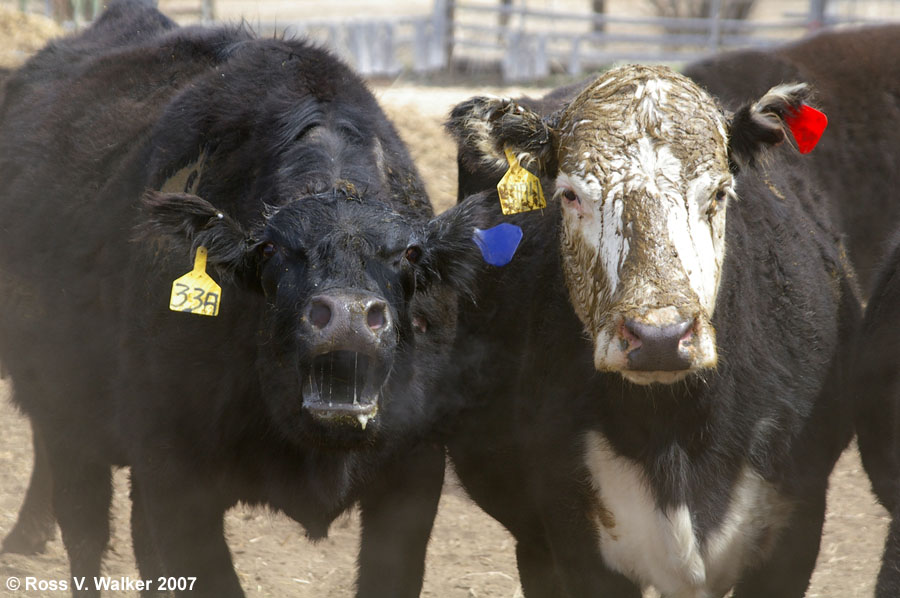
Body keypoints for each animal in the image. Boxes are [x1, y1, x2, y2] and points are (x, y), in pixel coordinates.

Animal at [0, 2, 486, 596]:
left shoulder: (414, 475)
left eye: (411, 253)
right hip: (63, 414)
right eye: (271, 248)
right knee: (84, 527)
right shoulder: (175, 477)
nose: (347, 315)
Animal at [446, 65, 860, 598]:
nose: (660, 338)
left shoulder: (796, 528)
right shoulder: (576, 544)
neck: (675, 426)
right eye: (571, 194)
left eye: (719, 193)